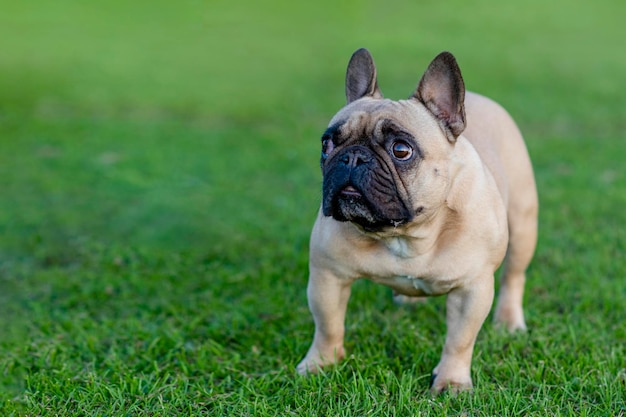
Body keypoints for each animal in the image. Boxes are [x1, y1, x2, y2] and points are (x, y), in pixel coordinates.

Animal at [294, 48, 532, 394]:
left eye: (401, 150)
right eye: (327, 144)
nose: (352, 157)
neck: (407, 234)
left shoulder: (471, 289)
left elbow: (459, 341)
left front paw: (451, 382)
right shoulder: (328, 277)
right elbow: (327, 325)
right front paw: (320, 364)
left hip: (524, 223)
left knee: (514, 276)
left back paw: (510, 321)